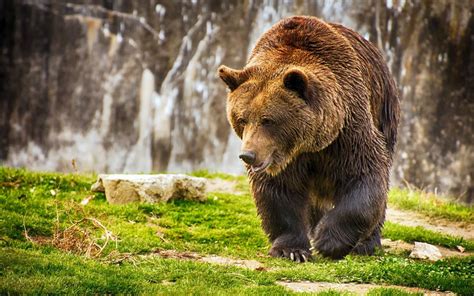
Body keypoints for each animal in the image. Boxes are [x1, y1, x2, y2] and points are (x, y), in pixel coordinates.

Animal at [218, 16, 400, 262]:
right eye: (241, 119)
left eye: (267, 120)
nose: (248, 155)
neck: (309, 144)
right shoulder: (282, 158)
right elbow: (279, 191)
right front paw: (292, 250)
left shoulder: (348, 130)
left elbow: (365, 176)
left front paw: (328, 241)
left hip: (384, 109)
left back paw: (366, 244)